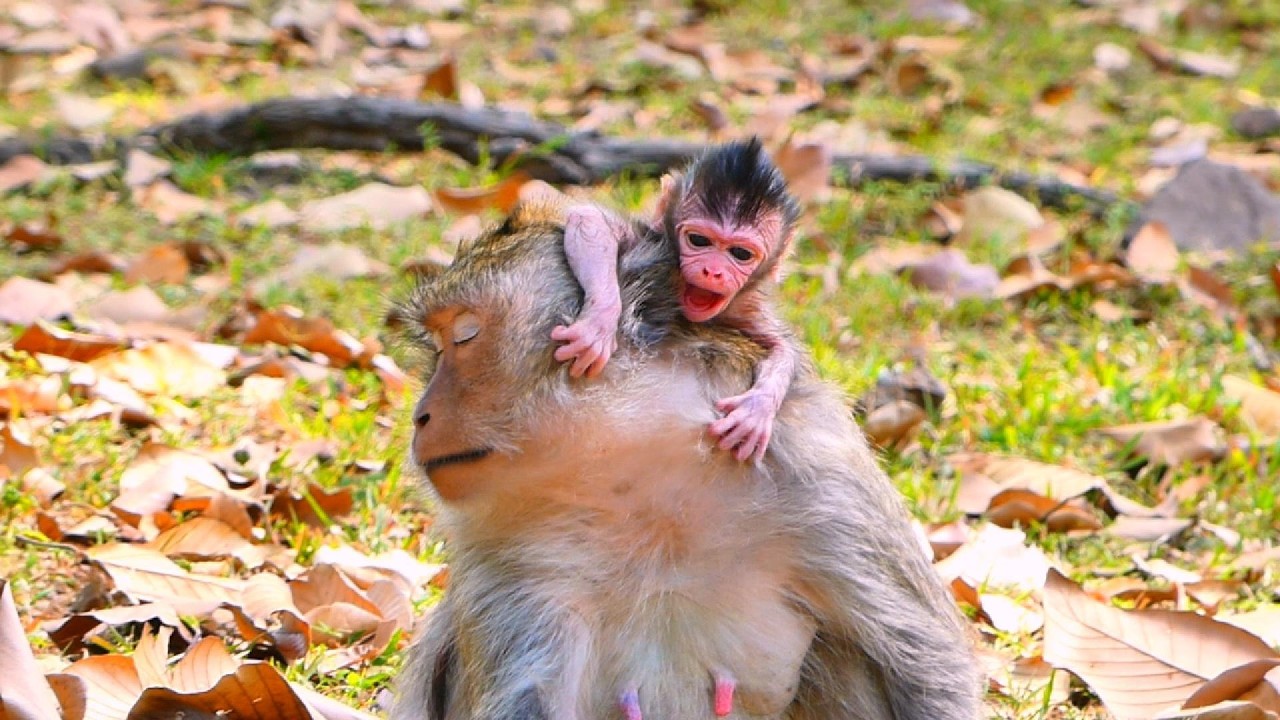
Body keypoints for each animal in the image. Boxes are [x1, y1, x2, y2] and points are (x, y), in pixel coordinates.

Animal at [390, 202, 981, 720]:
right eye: (439, 346)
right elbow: (528, 694)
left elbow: (925, 659)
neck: (638, 473)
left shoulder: (823, 480)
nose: (420, 416)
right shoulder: (515, 555)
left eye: (464, 336)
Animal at [550, 138, 801, 464]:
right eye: (699, 240)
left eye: (740, 254)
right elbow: (590, 222)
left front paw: (757, 409)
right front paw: (599, 324)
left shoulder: (744, 306)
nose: (713, 271)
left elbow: (783, 346)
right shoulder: (654, 241)